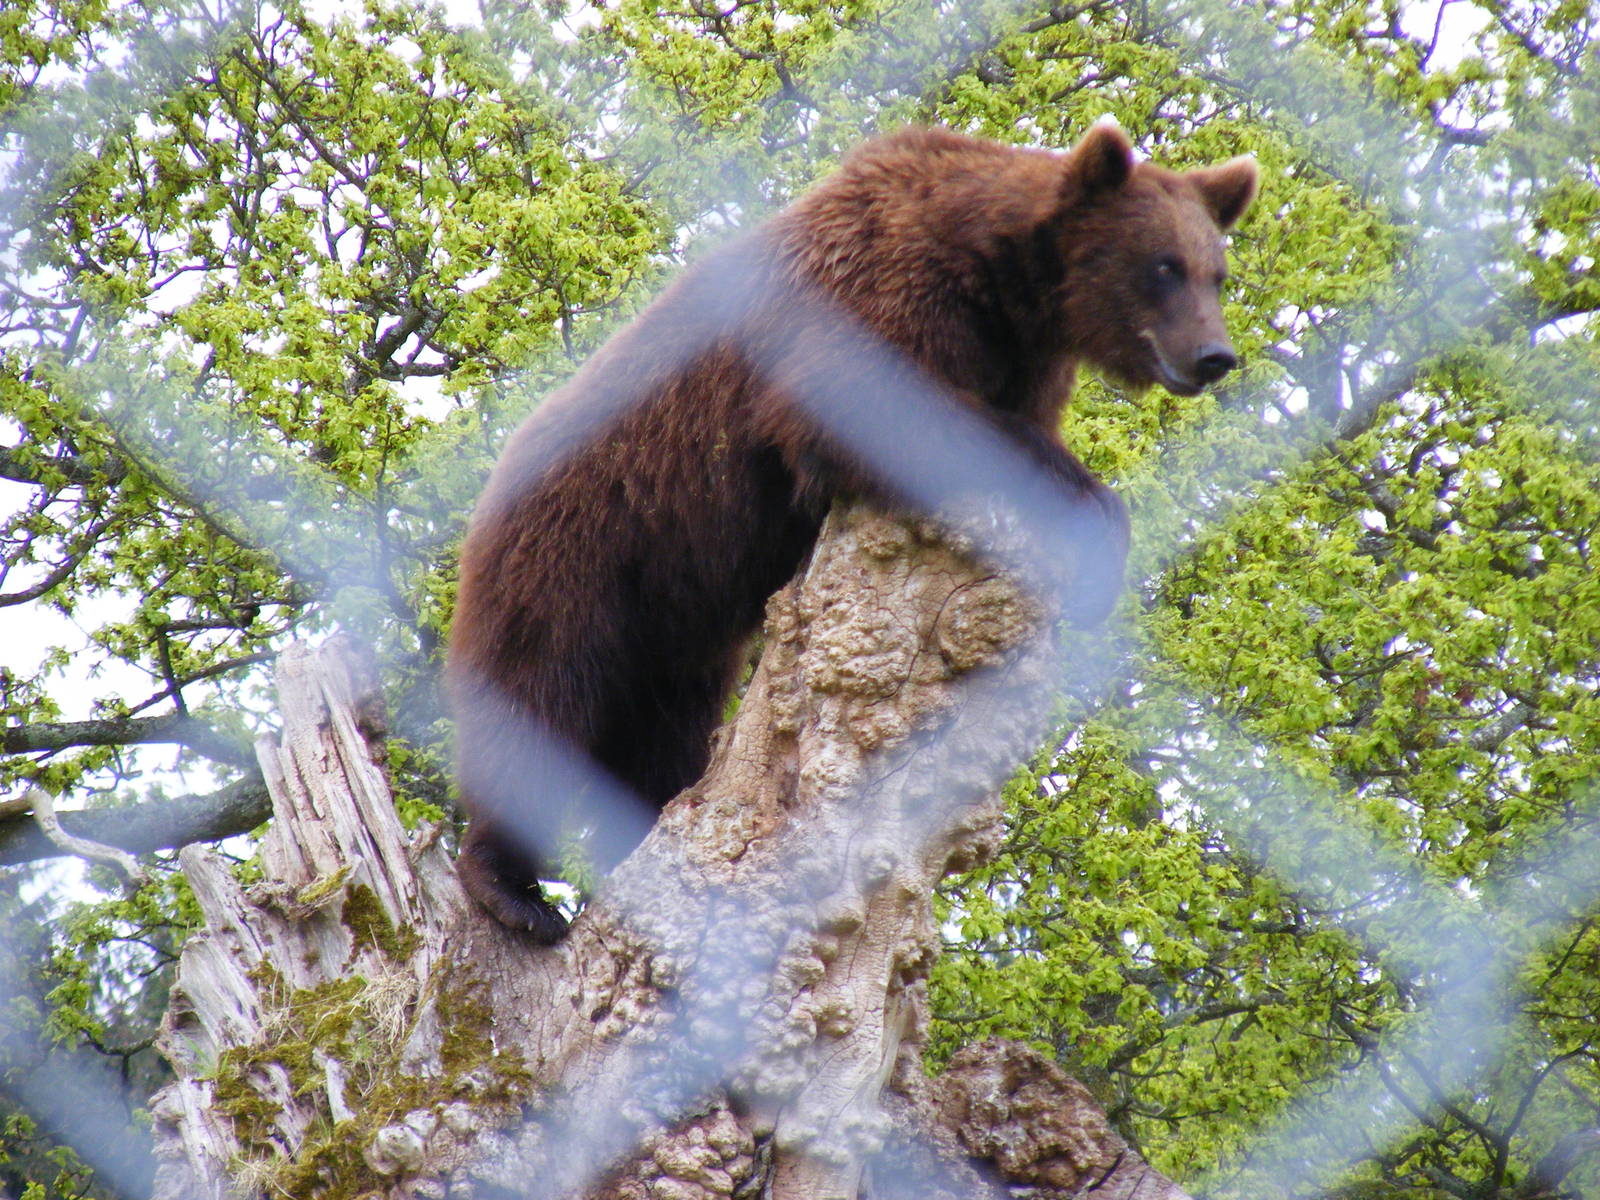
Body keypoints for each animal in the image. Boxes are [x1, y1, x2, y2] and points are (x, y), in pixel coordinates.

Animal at [447, 123, 1258, 941]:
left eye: (1216, 274)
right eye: (1164, 266)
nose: (1214, 356)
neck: (1004, 290)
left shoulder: (1023, 359)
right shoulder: (868, 305)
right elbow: (896, 426)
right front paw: (1094, 527)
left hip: (678, 627)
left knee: (661, 735)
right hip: (584, 545)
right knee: (541, 693)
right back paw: (513, 891)